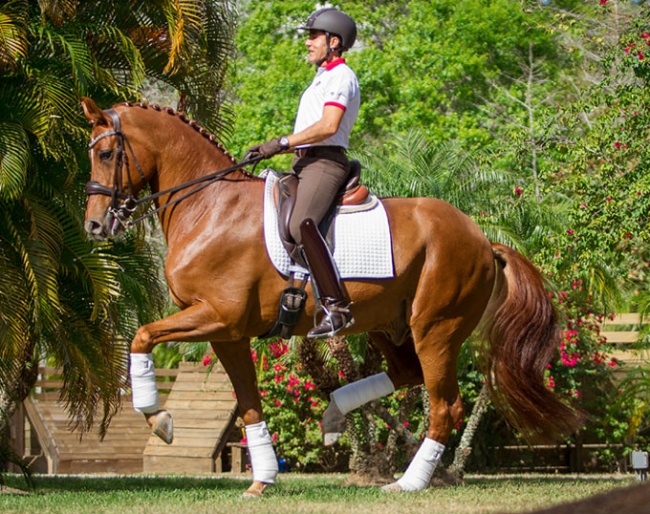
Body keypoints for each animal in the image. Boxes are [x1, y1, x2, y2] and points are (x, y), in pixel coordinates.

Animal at [78, 98, 580, 494]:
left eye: (106, 152)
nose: (95, 225)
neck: (209, 207)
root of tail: (482, 238)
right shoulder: (227, 332)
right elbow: (249, 402)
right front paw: (263, 479)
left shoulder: (217, 317)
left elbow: (141, 337)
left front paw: (158, 418)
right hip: (389, 326)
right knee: (406, 374)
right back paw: (337, 414)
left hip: (435, 328)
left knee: (444, 405)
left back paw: (408, 483)